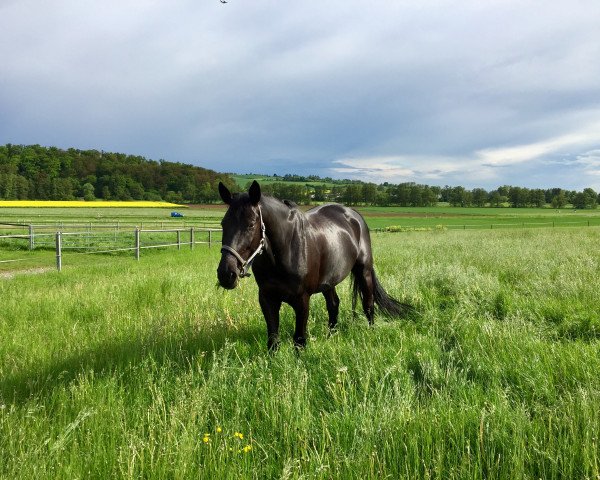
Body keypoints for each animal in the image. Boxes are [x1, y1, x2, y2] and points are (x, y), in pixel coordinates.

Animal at [217, 180, 412, 348]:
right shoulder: (267, 298)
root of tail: (354, 215)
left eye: (251, 224)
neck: (286, 249)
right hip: (329, 281)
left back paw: (370, 333)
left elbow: (299, 339)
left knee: (368, 305)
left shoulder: (302, 300)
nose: (226, 274)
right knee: (334, 305)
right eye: (223, 223)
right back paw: (330, 337)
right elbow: (273, 340)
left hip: (364, 271)